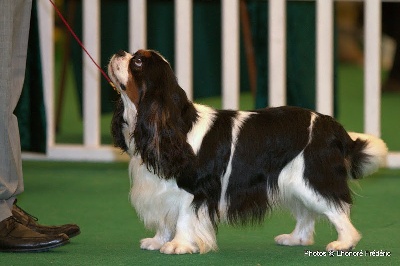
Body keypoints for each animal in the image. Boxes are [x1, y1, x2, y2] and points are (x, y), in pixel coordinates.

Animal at [108, 48, 388, 255]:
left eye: (138, 62)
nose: (119, 52)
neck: (175, 125)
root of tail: (333, 126)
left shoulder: (195, 189)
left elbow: (183, 218)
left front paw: (178, 245)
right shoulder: (161, 189)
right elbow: (165, 218)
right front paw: (158, 240)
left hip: (312, 178)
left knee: (336, 209)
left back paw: (345, 243)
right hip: (293, 182)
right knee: (306, 213)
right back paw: (295, 239)